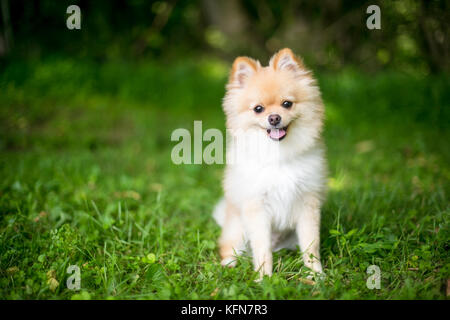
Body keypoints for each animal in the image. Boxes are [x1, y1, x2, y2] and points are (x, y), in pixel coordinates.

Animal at [213, 48, 326, 280]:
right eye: (258, 109)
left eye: (287, 104)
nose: (274, 118)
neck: (278, 155)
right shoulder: (256, 207)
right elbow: (261, 247)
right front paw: (264, 277)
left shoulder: (307, 204)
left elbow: (311, 245)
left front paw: (315, 274)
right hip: (237, 228)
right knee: (229, 246)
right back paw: (229, 263)